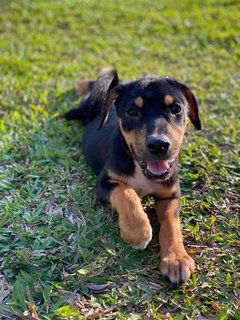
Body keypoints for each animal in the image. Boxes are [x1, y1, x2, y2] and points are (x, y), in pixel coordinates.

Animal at [63, 68, 201, 284]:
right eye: (132, 112)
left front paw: (176, 259)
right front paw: (138, 231)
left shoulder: (170, 195)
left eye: (176, 109)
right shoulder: (104, 183)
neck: (140, 167)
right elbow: (126, 192)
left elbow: (170, 222)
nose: (158, 145)